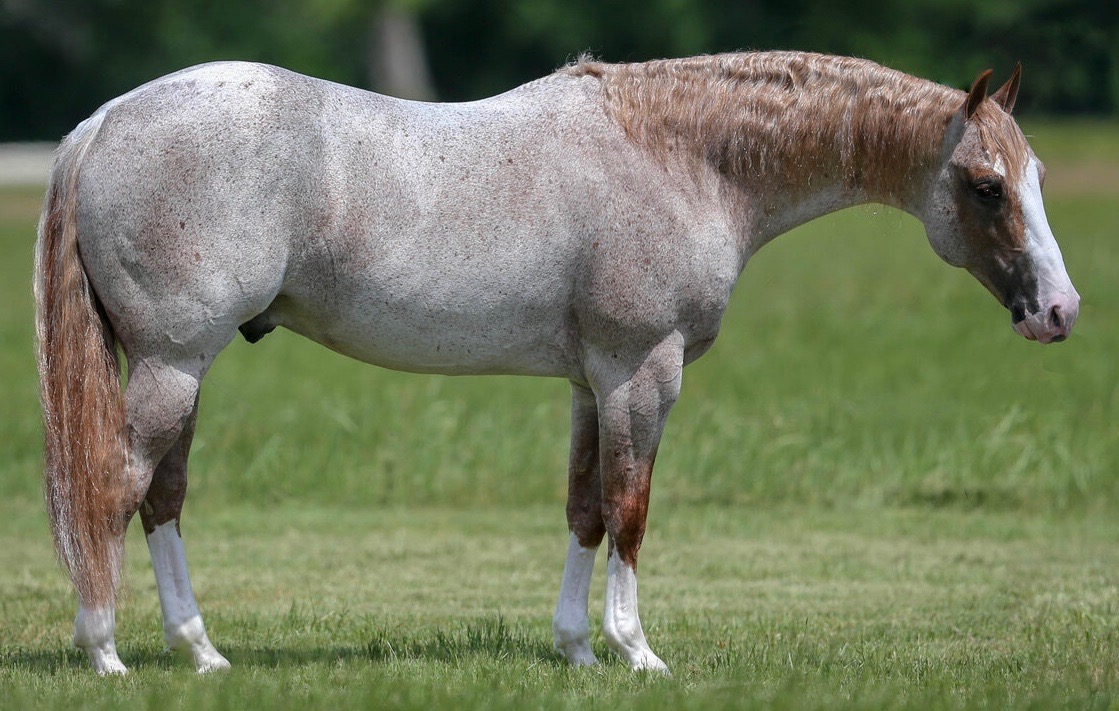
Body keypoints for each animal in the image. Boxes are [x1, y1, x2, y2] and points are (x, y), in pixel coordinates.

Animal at [35, 51, 1079, 675]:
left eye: (1029, 177)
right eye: (984, 186)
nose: (1059, 313)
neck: (680, 155)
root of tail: (107, 119)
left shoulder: (591, 382)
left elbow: (584, 507)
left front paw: (576, 650)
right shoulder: (643, 372)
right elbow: (631, 509)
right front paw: (638, 651)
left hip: (183, 368)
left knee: (161, 497)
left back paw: (201, 653)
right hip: (172, 362)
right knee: (114, 485)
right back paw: (106, 653)